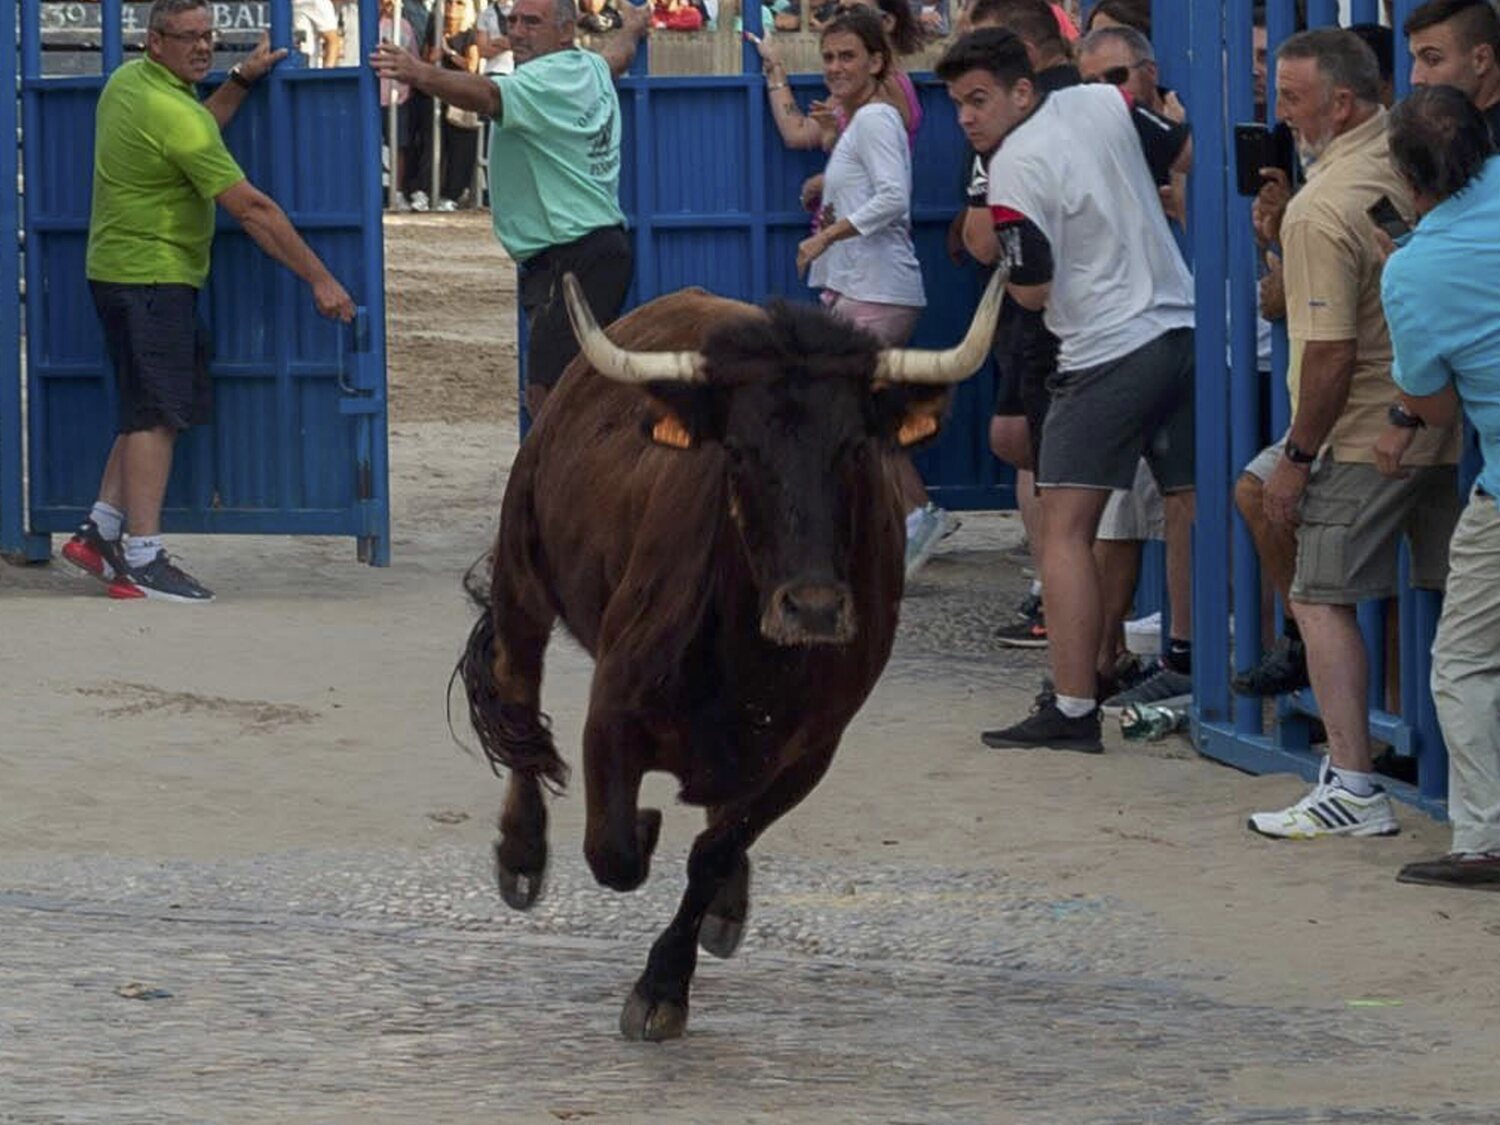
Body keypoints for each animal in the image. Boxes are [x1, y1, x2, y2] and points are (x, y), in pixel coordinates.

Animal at [450, 271, 1002, 1038]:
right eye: (739, 450)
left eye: (856, 447)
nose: (813, 607)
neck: (752, 660)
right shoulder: (612, 711)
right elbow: (615, 849)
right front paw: (643, 836)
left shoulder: (808, 754)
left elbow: (715, 850)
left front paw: (665, 981)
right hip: (523, 577)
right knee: (518, 699)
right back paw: (522, 854)